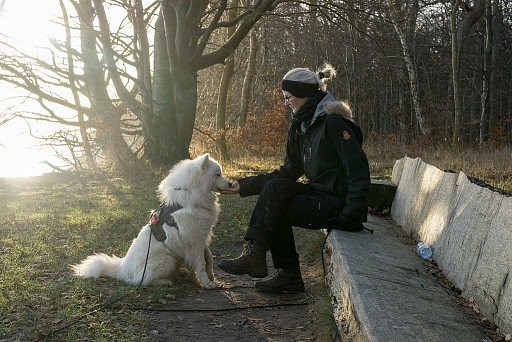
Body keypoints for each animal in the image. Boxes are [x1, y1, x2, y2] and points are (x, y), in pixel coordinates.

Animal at [71, 154, 231, 288]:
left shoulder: (202, 237)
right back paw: (166, 281)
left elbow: (209, 258)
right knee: (143, 281)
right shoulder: (195, 242)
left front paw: (212, 277)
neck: (189, 199)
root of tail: (122, 269)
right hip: (168, 260)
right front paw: (207, 283)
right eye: (218, 174)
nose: (230, 184)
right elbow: (201, 264)